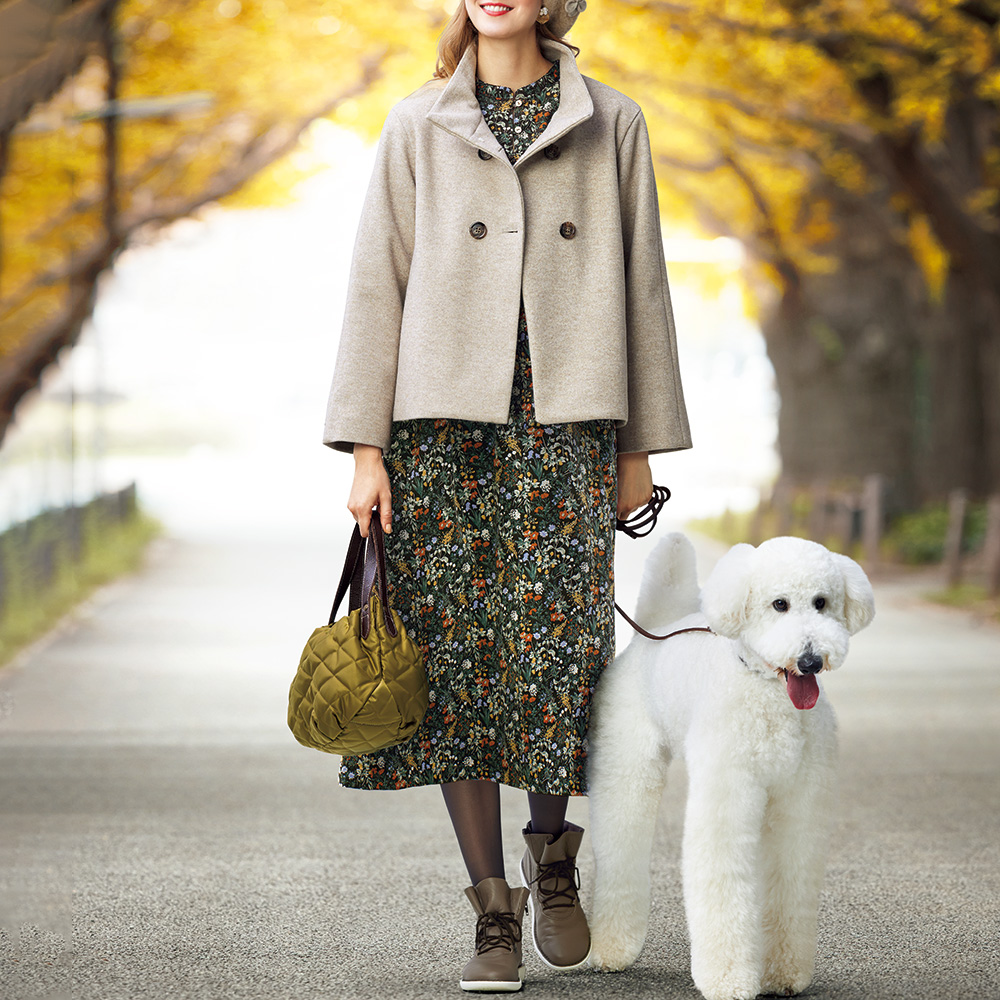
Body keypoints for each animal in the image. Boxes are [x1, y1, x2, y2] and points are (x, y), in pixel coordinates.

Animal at [584, 536, 876, 996]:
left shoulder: (800, 801)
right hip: (625, 766)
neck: (769, 691)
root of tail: (656, 628)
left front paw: (783, 975)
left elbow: (791, 879)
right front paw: (728, 981)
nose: (810, 660)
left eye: (822, 602)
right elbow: (723, 880)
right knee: (619, 848)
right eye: (779, 604)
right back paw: (612, 948)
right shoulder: (727, 794)